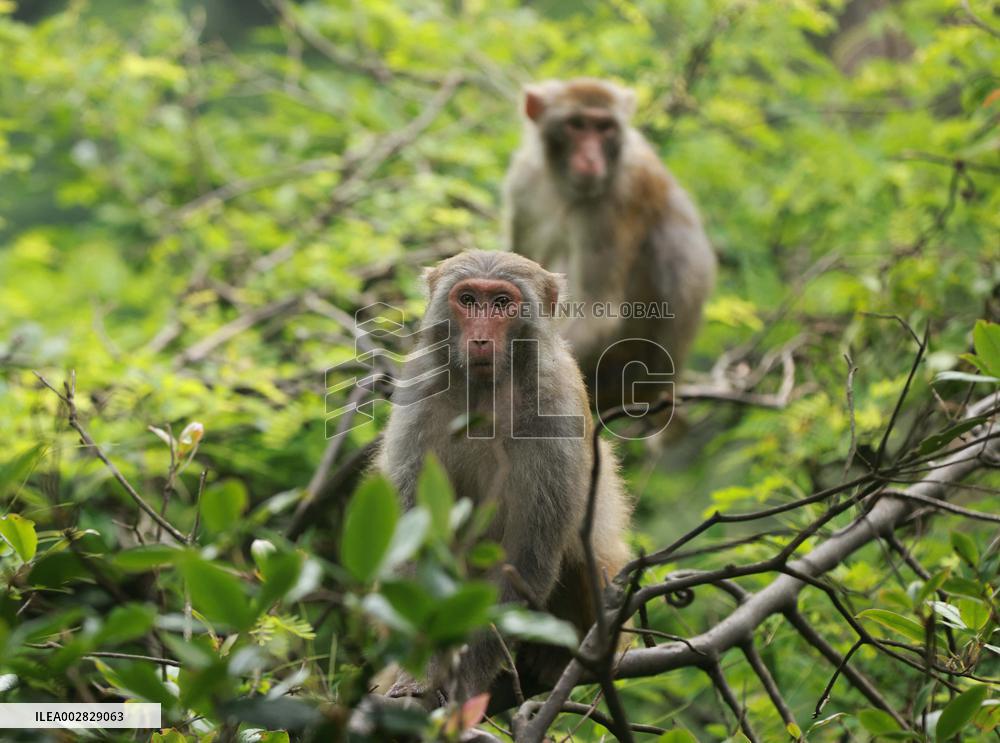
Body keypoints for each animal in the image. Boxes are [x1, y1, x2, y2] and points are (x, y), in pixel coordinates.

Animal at [377, 250, 631, 704]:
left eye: (501, 304)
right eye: (468, 300)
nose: (480, 337)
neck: (486, 391)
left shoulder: (555, 407)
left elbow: (526, 555)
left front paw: (464, 683)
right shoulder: (419, 393)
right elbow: (414, 538)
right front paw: (421, 672)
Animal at [504, 78, 716, 413]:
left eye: (605, 127)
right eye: (577, 125)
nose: (592, 159)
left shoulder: (616, 200)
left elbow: (599, 311)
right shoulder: (523, 181)